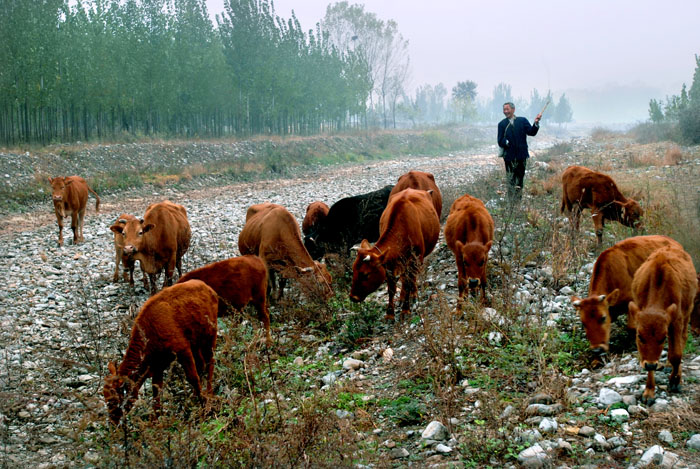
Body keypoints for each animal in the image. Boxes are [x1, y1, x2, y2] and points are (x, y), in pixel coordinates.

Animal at [103, 280, 219, 426]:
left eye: (113, 400)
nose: (113, 422)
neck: (150, 331)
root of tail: (206, 287)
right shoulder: (157, 366)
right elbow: (156, 392)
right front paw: (155, 421)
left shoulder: (183, 351)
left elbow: (193, 378)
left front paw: (205, 408)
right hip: (196, 344)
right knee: (202, 364)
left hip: (210, 337)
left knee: (210, 362)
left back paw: (209, 393)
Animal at [348, 188, 440, 320]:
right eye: (353, 271)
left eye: (365, 274)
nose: (352, 297)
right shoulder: (389, 265)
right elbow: (391, 288)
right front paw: (390, 314)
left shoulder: (414, 260)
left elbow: (408, 283)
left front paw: (405, 310)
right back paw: (402, 298)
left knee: (411, 279)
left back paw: (413, 295)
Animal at [628, 245, 696, 402]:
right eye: (640, 336)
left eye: (662, 338)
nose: (651, 364)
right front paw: (649, 391)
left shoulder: (677, 321)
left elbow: (676, 354)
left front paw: (675, 381)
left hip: (688, 312)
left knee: (682, 340)